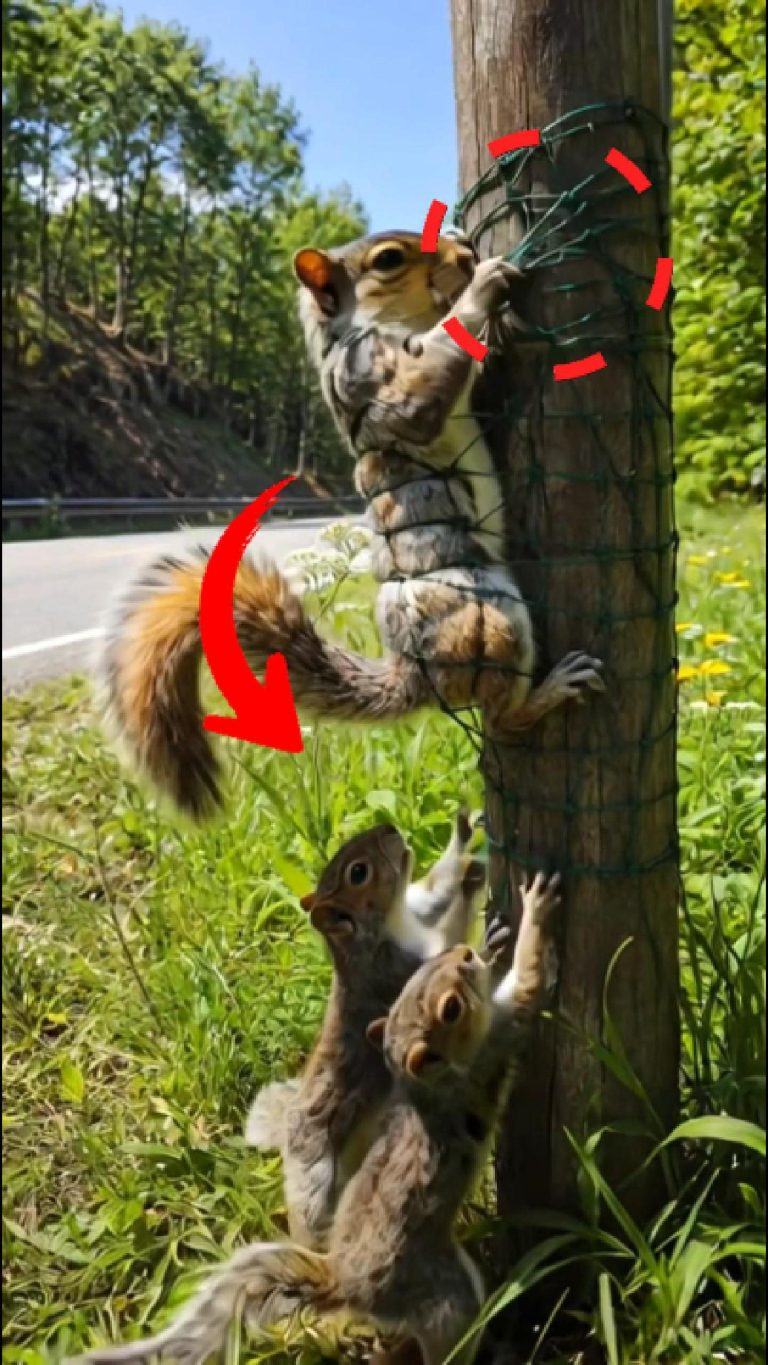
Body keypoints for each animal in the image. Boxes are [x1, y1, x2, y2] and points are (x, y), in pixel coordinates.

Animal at [74, 871, 560, 1365]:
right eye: (450, 1008)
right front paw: (535, 909)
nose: (462, 954)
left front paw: (493, 942)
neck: (423, 1084)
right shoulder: (492, 1046)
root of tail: (343, 1284)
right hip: (446, 1294)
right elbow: (529, 984)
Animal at [100, 229, 604, 818]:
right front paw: (481, 290)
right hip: (489, 615)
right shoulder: (373, 376)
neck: (381, 325)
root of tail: (414, 676)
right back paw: (550, 690)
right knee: (501, 716)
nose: (465, 251)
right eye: (388, 259)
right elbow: (420, 395)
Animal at [245, 813, 486, 1250]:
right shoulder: (400, 976)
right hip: (315, 1174)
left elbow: (437, 886)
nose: (388, 828)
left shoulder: (421, 904)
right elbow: (451, 945)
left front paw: (464, 837)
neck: (394, 923)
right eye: (358, 873)